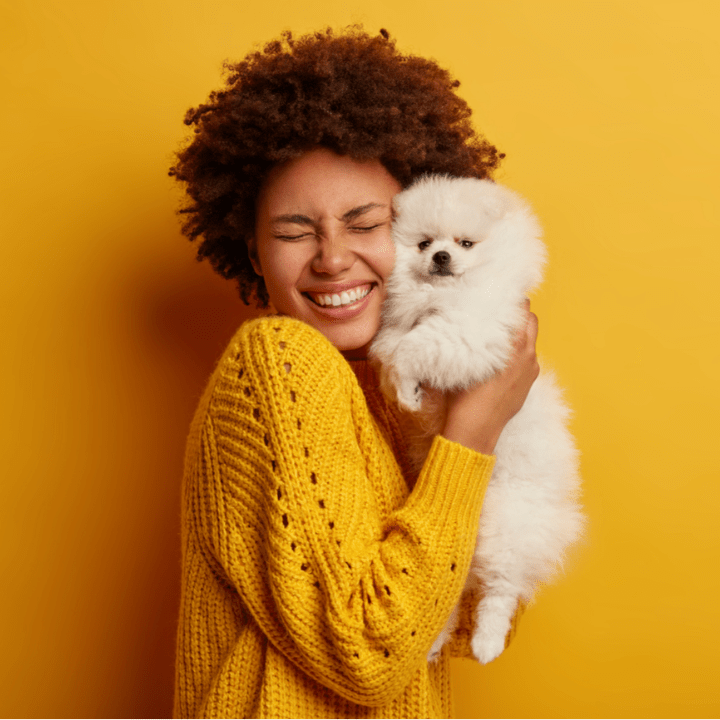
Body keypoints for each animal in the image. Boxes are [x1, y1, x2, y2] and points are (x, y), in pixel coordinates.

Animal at [368, 173, 584, 664]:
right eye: (424, 243)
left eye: (466, 243)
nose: (441, 257)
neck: (440, 296)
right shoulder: (404, 333)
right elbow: (392, 353)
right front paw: (406, 395)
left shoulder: (471, 331)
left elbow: (413, 348)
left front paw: (405, 383)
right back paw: (433, 643)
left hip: (508, 523)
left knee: (500, 589)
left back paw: (486, 642)